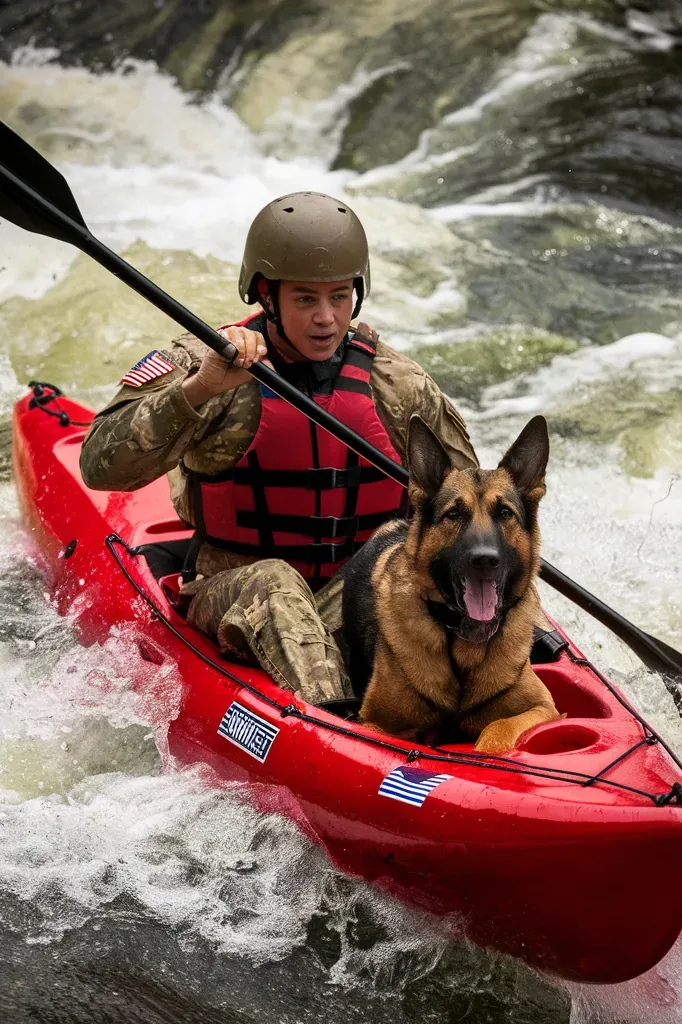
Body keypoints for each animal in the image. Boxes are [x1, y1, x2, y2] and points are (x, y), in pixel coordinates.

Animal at [339, 413, 557, 753]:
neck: (465, 644)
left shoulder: (543, 708)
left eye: (504, 512)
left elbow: (499, 728)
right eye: (453, 514)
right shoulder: (374, 722)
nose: (485, 559)